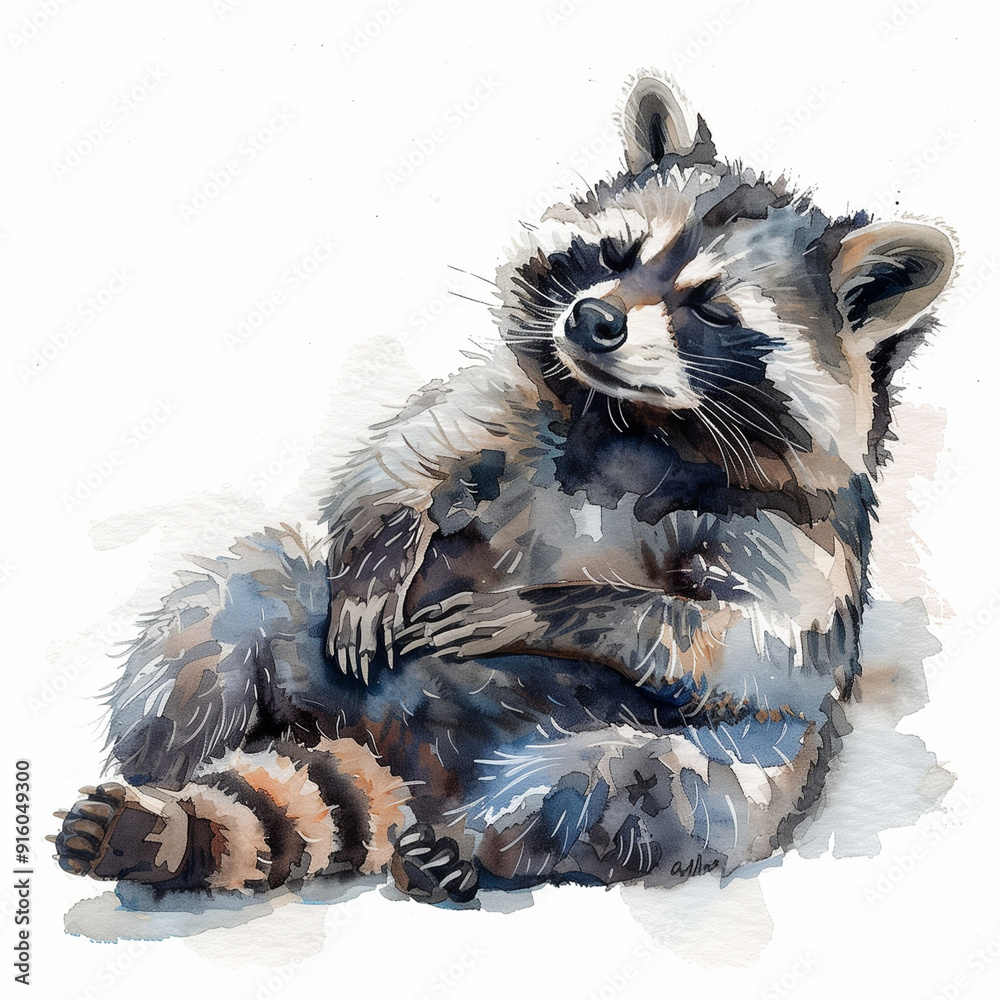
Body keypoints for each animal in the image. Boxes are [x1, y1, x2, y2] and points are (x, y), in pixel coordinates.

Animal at [53, 71, 954, 905]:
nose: (593, 320)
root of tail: (401, 759)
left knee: (652, 787)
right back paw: (171, 773)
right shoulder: (511, 400)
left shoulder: (799, 531)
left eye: (712, 310)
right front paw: (382, 549)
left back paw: (474, 853)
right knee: (224, 610)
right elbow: (398, 458)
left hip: (714, 772)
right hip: (289, 633)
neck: (631, 423)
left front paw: (553, 610)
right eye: (615, 254)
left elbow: (751, 645)